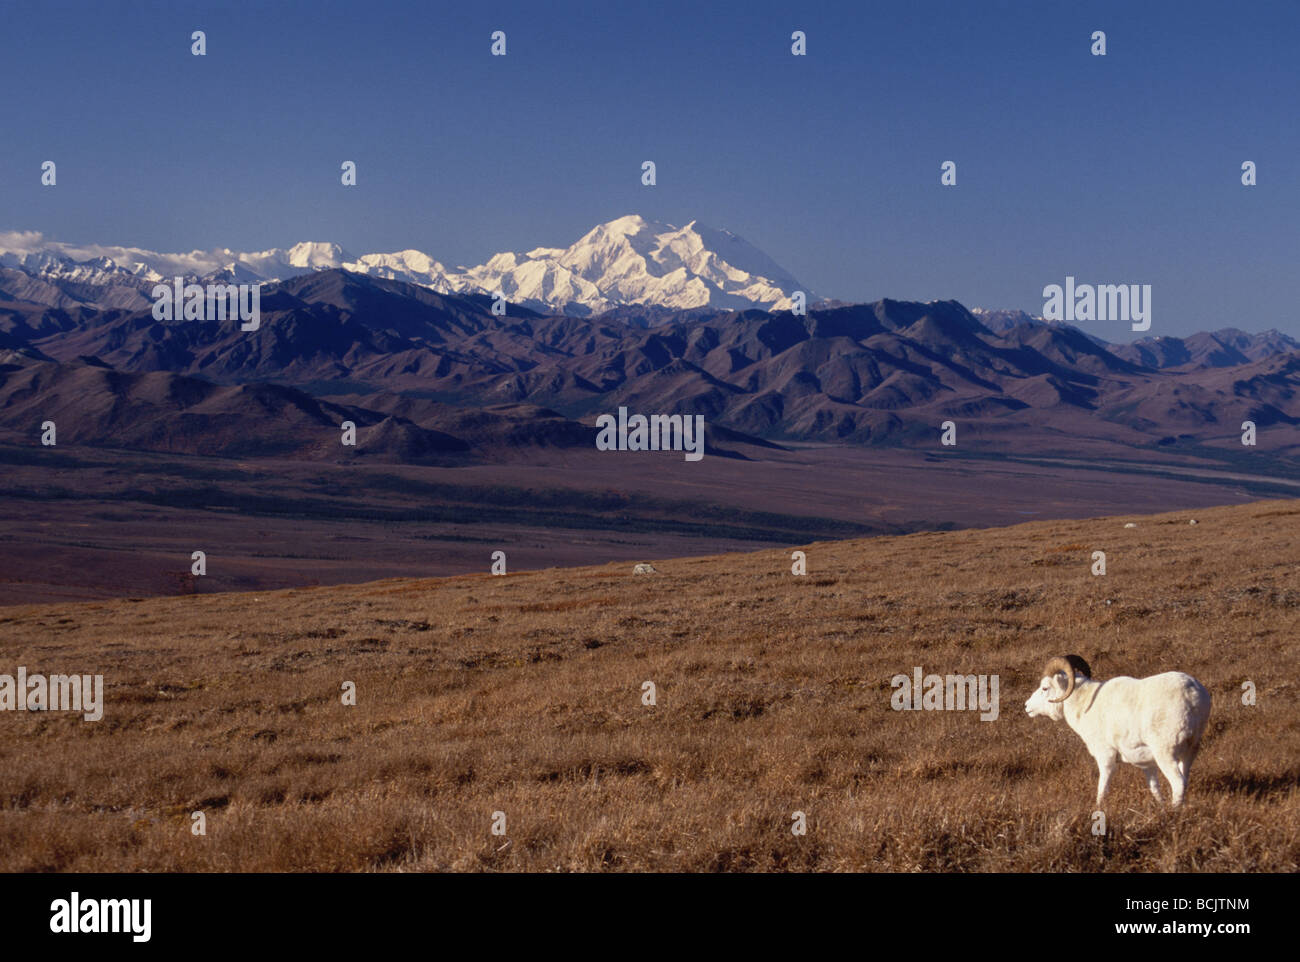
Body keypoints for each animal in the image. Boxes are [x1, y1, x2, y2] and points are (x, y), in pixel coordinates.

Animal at [1019, 657, 1211, 806]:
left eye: (1045, 688)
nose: (1027, 706)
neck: (1086, 705)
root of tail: (1193, 696)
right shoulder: (1147, 763)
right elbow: (1155, 788)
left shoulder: (1106, 756)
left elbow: (1102, 789)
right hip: (1190, 751)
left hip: (1165, 754)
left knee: (1178, 783)